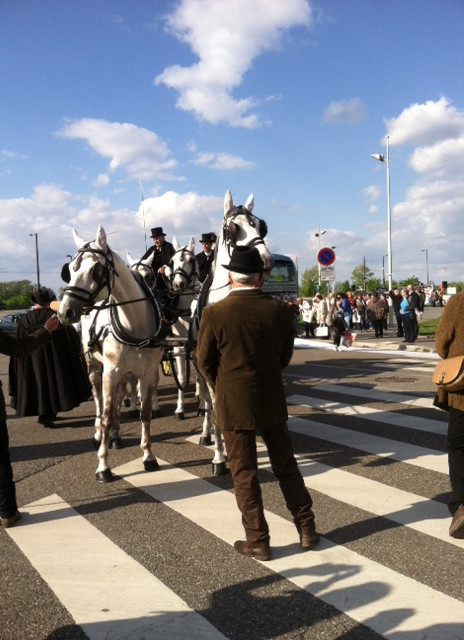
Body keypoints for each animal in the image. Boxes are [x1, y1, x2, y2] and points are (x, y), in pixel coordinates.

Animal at [58, 225, 164, 480]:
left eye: (95, 270)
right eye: (70, 269)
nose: (64, 312)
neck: (135, 325)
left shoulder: (147, 373)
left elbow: (145, 413)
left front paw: (148, 456)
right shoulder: (110, 371)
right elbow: (105, 415)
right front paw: (103, 466)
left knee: (117, 398)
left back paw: (116, 435)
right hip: (96, 369)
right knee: (99, 401)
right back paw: (100, 435)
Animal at [195, 190, 274, 476]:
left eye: (260, 225)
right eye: (232, 228)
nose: (266, 259)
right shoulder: (209, 370)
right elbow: (216, 409)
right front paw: (220, 457)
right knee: (206, 403)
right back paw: (206, 434)